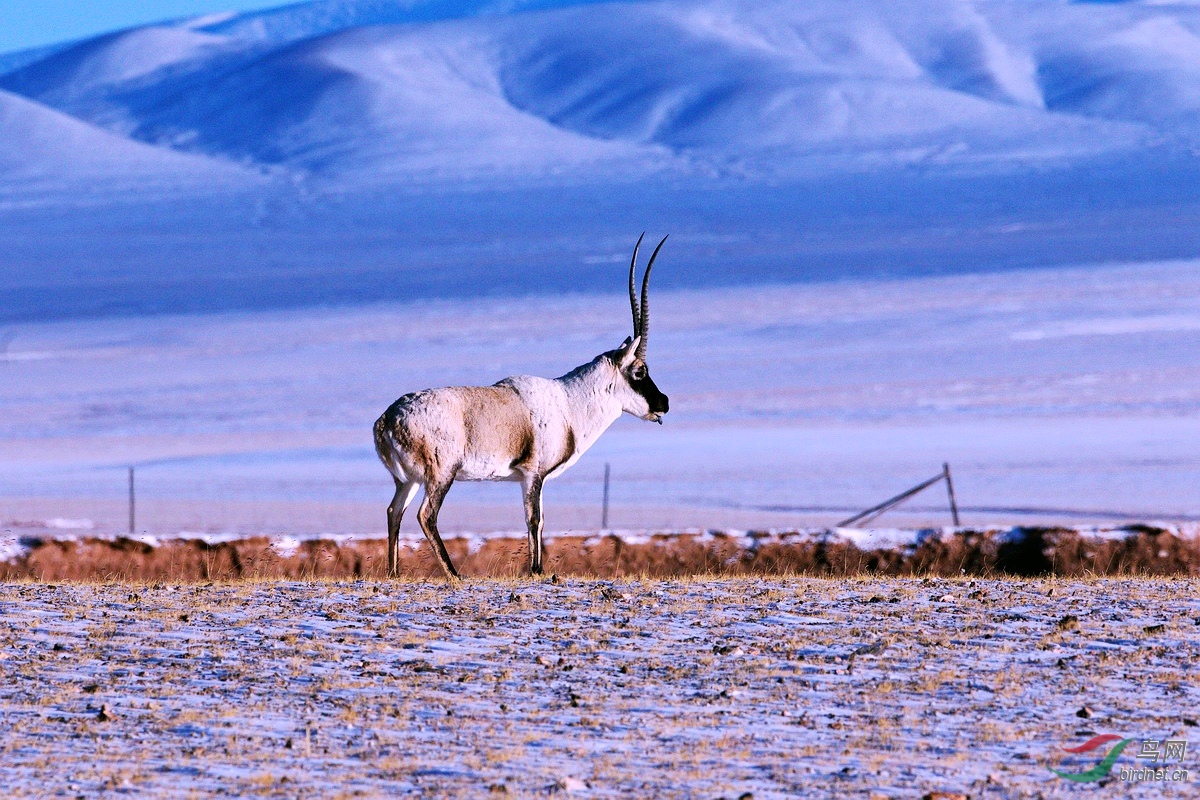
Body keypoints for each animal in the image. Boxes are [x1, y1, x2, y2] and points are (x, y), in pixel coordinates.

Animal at [372, 235, 672, 578]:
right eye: (639, 372)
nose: (664, 402)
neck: (569, 402)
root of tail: (388, 419)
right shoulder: (533, 475)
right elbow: (535, 520)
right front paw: (536, 570)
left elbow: (538, 522)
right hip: (440, 475)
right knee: (426, 514)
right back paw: (454, 573)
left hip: (407, 480)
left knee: (394, 511)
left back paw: (394, 573)